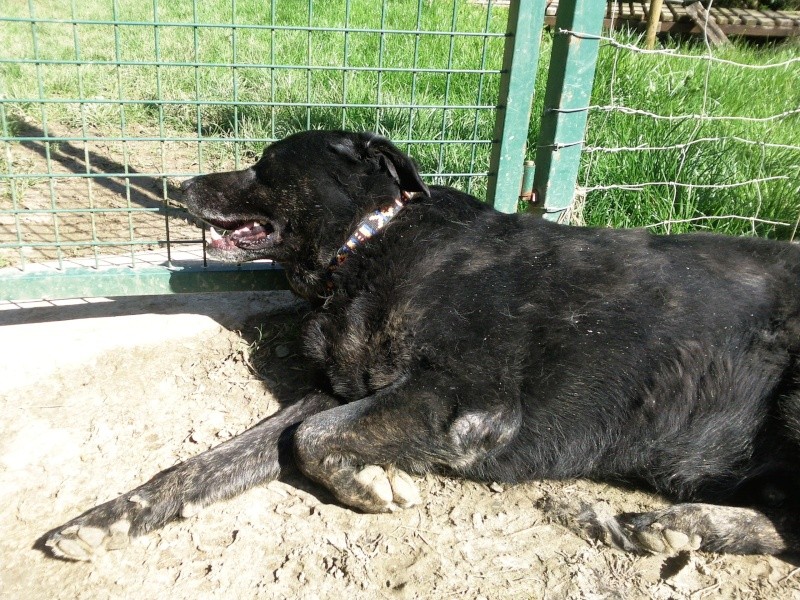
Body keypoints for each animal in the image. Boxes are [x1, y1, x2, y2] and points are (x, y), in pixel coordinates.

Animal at [45, 129, 800, 560]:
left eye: (264, 164)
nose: (183, 185)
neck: (370, 244)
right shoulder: (340, 391)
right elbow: (213, 461)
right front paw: (107, 520)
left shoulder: (468, 398)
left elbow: (310, 439)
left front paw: (370, 484)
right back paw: (673, 527)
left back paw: (683, 524)